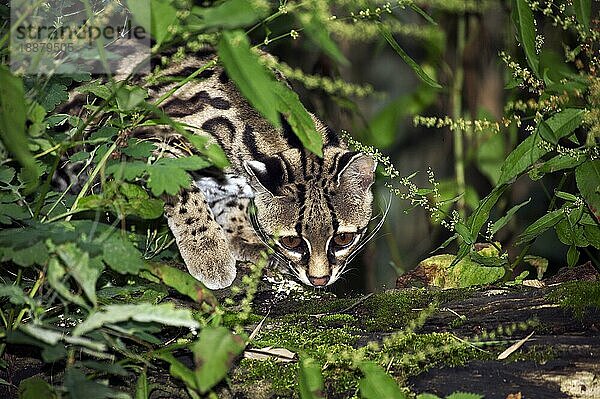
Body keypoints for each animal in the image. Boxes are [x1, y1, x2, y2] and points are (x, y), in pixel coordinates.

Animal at [137, 53, 376, 290]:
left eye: (343, 238)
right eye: (291, 241)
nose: (319, 280)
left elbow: (234, 202)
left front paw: (243, 236)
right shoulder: (150, 143)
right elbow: (185, 194)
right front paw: (208, 251)